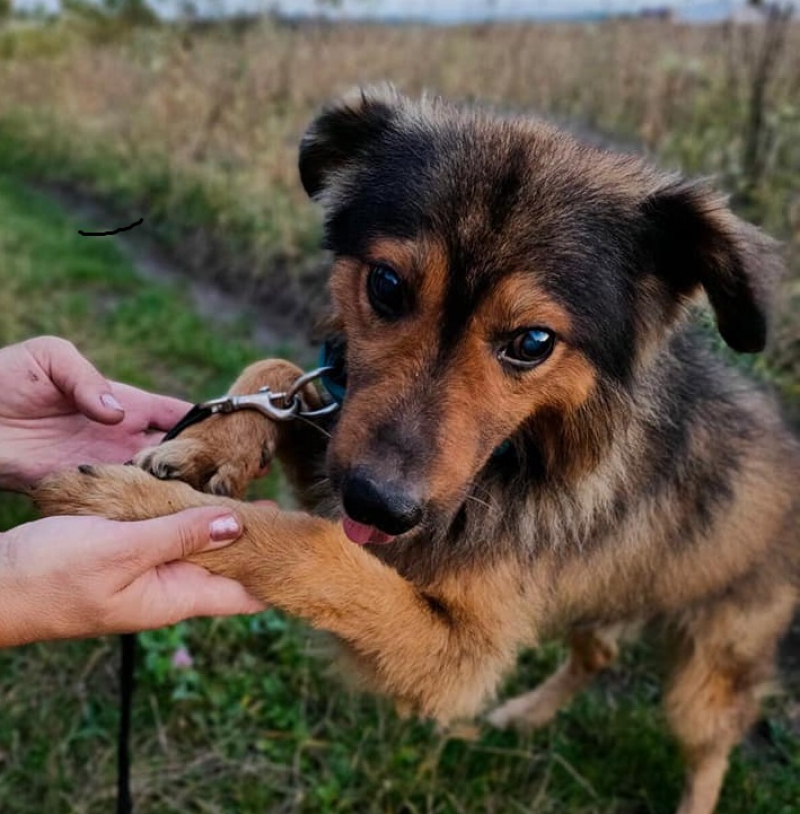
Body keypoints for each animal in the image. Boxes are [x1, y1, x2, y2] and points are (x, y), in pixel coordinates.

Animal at [36, 89, 800, 814]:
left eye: (533, 342)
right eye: (387, 285)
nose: (381, 505)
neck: (522, 455)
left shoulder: (455, 658)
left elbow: (315, 549)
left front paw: (131, 502)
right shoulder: (344, 456)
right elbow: (283, 375)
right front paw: (212, 440)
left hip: (707, 669)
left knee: (710, 748)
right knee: (600, 651)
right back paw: (524, 716)